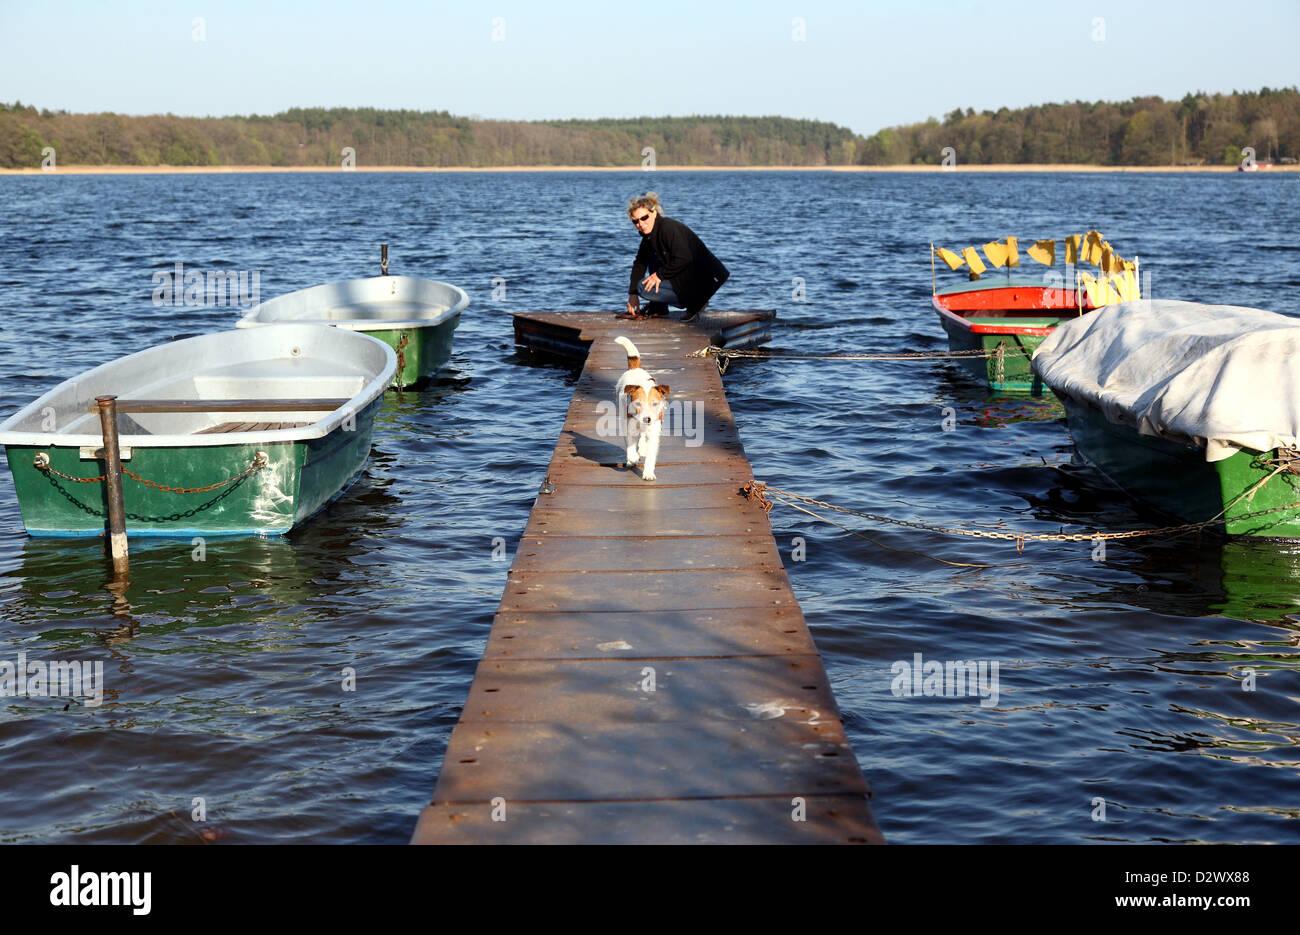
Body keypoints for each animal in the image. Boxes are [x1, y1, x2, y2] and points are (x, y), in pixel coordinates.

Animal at [611, 335, 670, 483]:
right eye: (638, 403)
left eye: (655, 404)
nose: (647, 419)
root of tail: (635, 369)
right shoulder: (629, 427)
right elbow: (630, 445)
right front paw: (633, 458)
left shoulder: (654, 431)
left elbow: (650, 453)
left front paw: (648, 473)